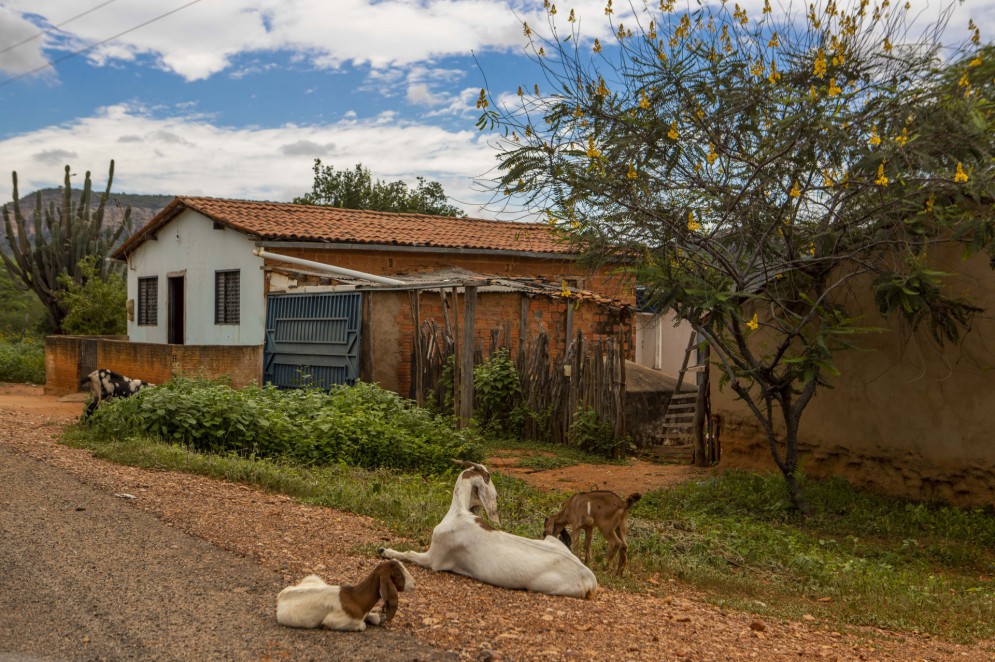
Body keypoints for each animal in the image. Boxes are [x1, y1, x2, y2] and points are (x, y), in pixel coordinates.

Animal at [274, 564, 414, 636]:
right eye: (399, 575)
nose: (414, 584)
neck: (356, 598)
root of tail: (281, 596)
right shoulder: (333, 620)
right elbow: (362, 626)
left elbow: (376, 618)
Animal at [380, 462, 600, 600]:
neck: (459, 512)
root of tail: (590, 578)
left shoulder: (435, 558)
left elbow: (409, 553)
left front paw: (384, 550)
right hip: (552, 541)